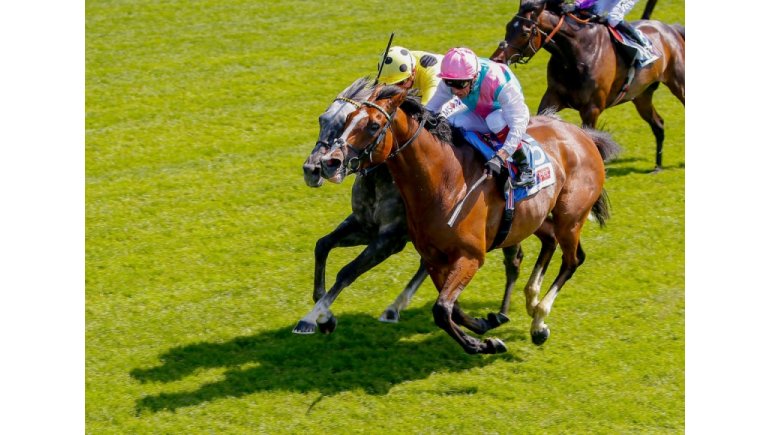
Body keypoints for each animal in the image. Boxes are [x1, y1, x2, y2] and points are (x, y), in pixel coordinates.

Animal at [296, 78, 519, 335]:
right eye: (322, 119)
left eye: (346, 121)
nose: (315, 168)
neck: (381, 176)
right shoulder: (364, 225)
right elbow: (322, 245)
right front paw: (323, 316)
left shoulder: (391, 238)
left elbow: (348, 271)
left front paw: (314, 318)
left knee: (511, 258)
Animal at [320, 85, 620, 354]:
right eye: (348, 118)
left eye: (373, 125)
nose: (330, 161)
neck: (445, 182)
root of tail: (582, 134)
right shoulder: (434, 258)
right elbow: (453, 308)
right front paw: (486, 326)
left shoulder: (470, 257)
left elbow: (442, 310)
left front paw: (482, 345)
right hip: (534, 218)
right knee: (550, 241)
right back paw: (531, 299)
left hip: (570, 216)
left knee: (573, 259)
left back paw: (539, 320)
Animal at [490, 0, 684, 171]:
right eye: (508, 27)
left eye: (525, 32)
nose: (497, 59)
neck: (577, 53)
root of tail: (671, 28)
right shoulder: (552, 97)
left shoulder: (591, 109)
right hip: (641, 96)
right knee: (658, 124)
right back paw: (658, 166)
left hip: (678, 83)